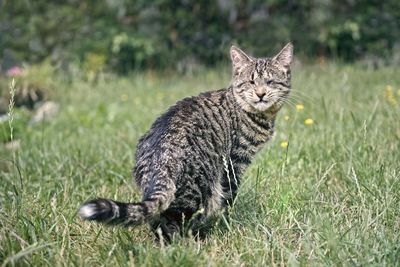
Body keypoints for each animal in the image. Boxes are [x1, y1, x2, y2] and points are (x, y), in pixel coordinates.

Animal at [78, 43, 294, 242]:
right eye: (251, 82)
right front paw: (227, 224)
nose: (261, 94)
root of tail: (160, 157)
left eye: (270, 81)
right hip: (198, 188)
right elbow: (228, 200)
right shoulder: (235, 162)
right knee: (172, 221)